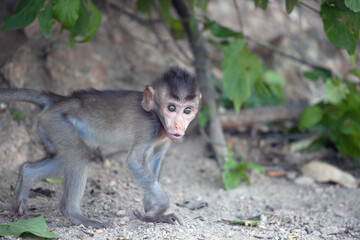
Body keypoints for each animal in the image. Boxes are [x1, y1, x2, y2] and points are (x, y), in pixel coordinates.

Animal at [0, 66, 201, 228]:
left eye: (187, 110)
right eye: (171, 108)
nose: (178, 126)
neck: (158, 119)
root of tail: (60, 99)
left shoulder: (164, 139)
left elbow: (153, 164)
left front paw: (154, 215)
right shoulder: (148, 128)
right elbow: (135, 162)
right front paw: (161, 207)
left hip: (51, 126)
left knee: (59, 160)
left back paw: (25, 182)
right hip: (56, 121)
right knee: (78, 154)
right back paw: (75, 214)